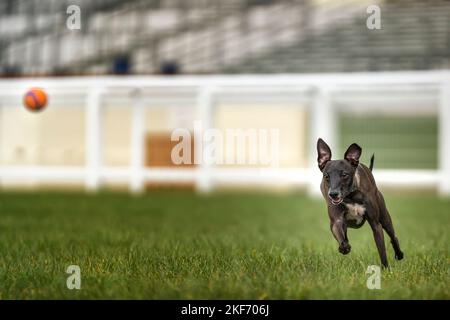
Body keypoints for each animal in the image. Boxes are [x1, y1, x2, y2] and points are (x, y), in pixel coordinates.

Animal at [316, 138, 404, 268]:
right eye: (326, 176)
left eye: (344, 175)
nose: (333, 194)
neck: (351, 196)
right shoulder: (336, 221)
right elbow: (341, 237)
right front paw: (344, 247)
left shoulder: (375, 224)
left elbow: (382, 250)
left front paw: (386, 268)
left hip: (385, 217)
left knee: (393, 236)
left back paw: (399, 254)